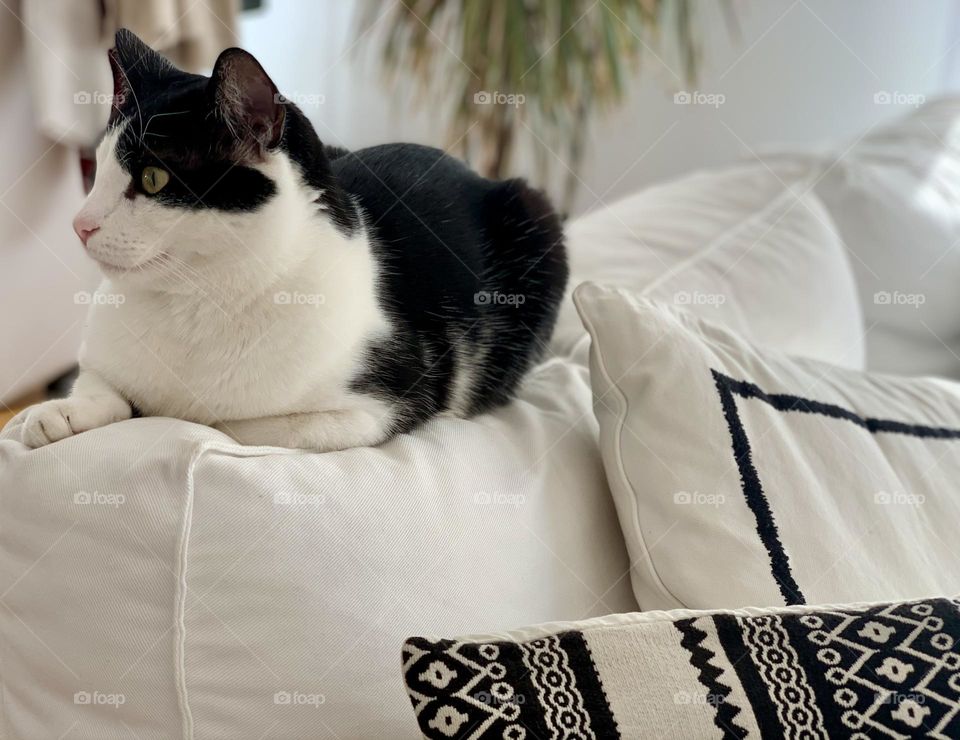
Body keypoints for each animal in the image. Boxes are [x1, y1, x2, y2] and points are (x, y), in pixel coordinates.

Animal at [7, 28, 568, 450]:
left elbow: (228, 426)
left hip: (539, 217)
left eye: (152, 179)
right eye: (98, 169)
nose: (79, 224)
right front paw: (57, 413)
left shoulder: (377, 407)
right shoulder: (102, 358)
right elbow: (100, 382)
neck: (197, 298)